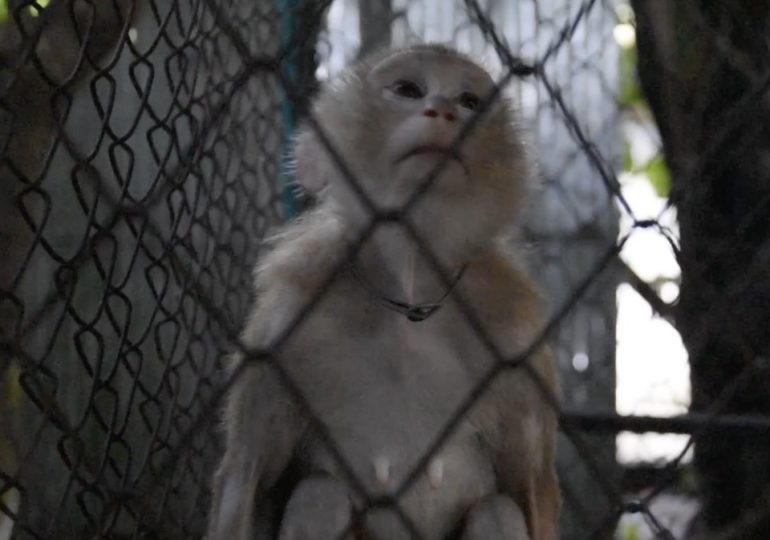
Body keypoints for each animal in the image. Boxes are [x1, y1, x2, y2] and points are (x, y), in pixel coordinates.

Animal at [207, 43, 560, 540]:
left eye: (471, 101)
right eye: (408, 90)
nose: (445, 110)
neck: (410, 295)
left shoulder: (515, 339)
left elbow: (531, 491)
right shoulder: (283, 324)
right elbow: (246, 475)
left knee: (498, 511)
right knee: (320, 495)